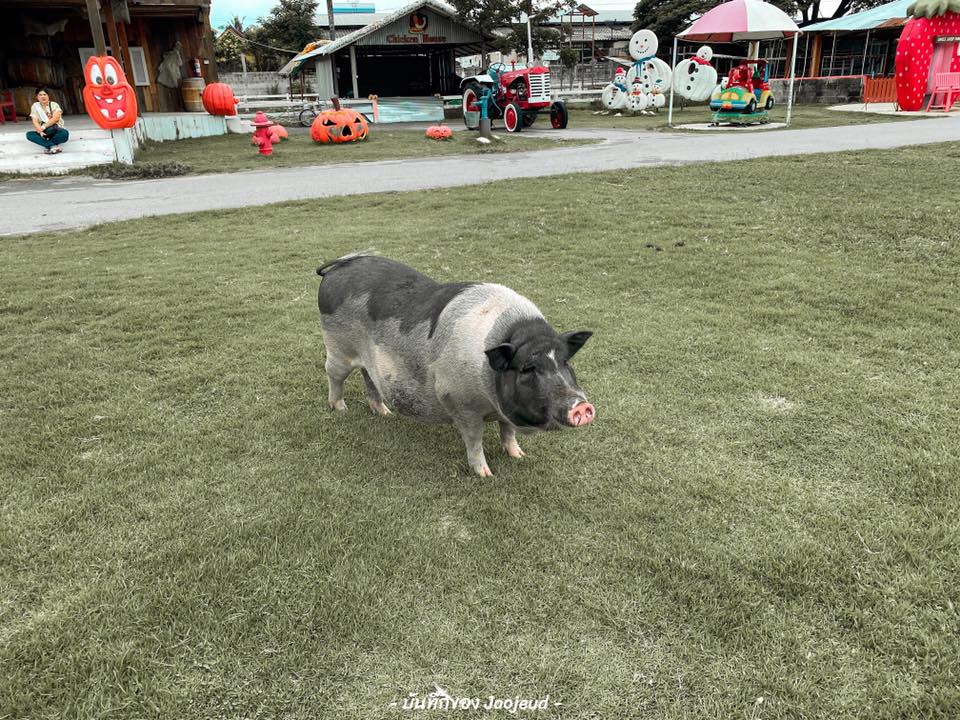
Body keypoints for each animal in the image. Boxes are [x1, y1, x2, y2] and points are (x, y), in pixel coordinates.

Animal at [316, 255, 592, 478]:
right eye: (527, 368)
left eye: (565, 362)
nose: (581, 405)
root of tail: (338, 266)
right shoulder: (460, 402)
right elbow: (474, 440)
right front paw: (486, 475)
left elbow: (508, 432)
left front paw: (519, 456)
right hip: (337, 348)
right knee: (334, 375)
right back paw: (340, 409)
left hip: (368, 362)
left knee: (369, 377)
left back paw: (385, 413)